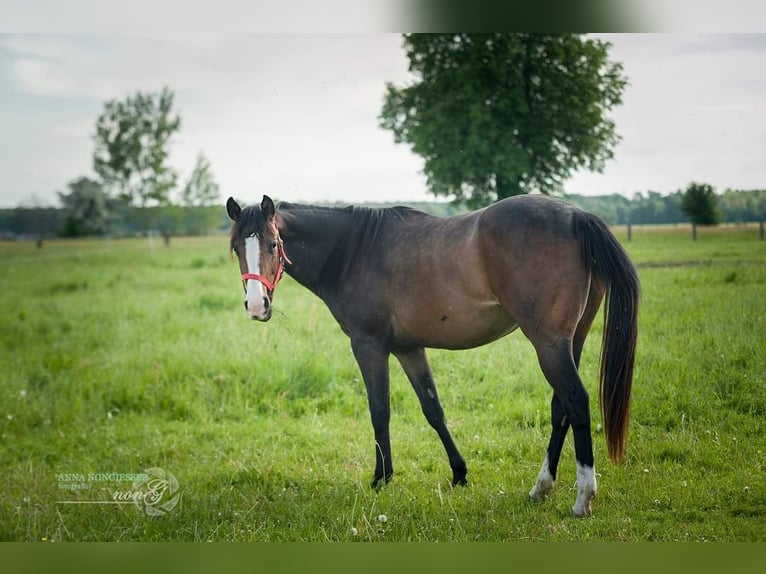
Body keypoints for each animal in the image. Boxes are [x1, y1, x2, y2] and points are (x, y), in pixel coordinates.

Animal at [228, 194, 640, 516]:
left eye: (273, 245)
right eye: (236, 248)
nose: (256, 306)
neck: (354, 251)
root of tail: (576, 216)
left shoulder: (368, 345)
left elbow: (379, 411)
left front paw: (381, 477)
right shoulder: (409, 348)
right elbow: (433, 409)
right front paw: (459, 473)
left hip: (550, 344)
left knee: (577, 402)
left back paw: (583, 497)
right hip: (570, 341)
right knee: (561, 409)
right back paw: (541, 487)